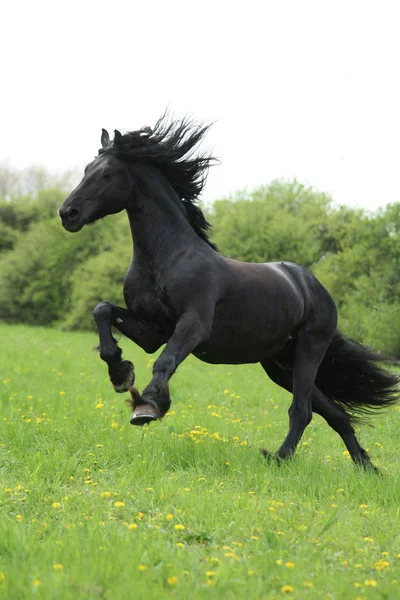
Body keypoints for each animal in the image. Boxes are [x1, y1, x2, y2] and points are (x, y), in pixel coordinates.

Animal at [57, 112, 398, 468]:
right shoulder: (152, 330)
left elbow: (165, 361)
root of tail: (314, 287)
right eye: (86, 170)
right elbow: (103, 310)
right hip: (281, 365)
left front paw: (148, 405)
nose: (68, 214)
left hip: (309, 350)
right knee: (335, 414)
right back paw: (367, 469)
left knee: (302, 411)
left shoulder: (193, 324)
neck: (166, 258)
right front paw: (121, 373)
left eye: (107, 173)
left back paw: (279, 459)